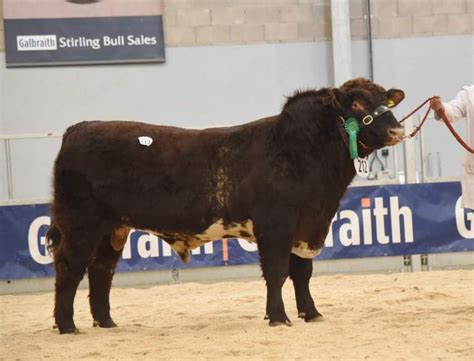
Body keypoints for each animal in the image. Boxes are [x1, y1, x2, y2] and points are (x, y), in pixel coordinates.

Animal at [47, 77, 404, 334]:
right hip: (80, 223)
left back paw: (106, 322)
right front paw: (279, 317)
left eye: (384, 100)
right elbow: (277, 272)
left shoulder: (308, 226)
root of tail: (78, 128)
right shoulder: (275, 225)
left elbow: (303, 273)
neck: (300, 150)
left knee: (101, 270)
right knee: (70, 267)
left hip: (113, 229)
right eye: (356, 103)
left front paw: (311, 313)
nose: (397, 129)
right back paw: (67, 326)